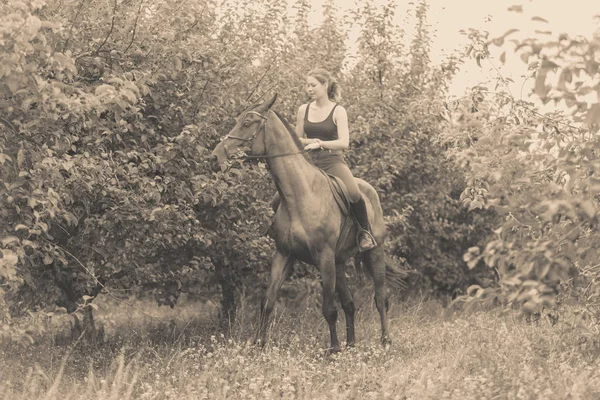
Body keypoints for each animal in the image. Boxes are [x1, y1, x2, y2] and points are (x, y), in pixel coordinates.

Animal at [211, 94, 398, 354]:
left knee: (381, 298)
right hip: (339, 262)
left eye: (247, 123)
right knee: (350, 303)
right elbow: (267, 300)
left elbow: (329, 309)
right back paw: (351, 344)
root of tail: (369, 190)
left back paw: (385, 341)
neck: (300, 194)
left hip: (374, 254)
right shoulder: (284, 254)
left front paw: (333, 349)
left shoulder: (324, 257)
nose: (215, 157)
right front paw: (258, 345)